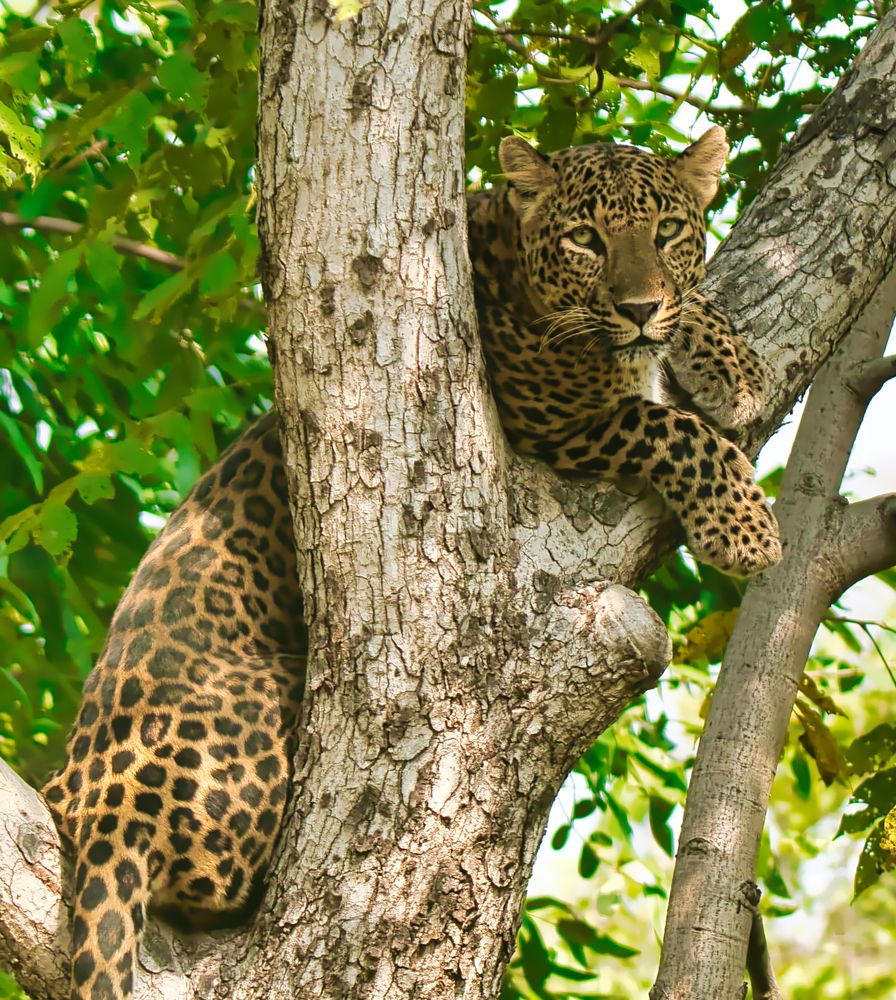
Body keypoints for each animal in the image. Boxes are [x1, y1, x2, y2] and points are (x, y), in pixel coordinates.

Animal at [42, 126, 780, 1000]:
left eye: (666, 231)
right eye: (585, 240)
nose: (637, 308)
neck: (510, 258)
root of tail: (90, 804)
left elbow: (696, 309)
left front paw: (736, 368)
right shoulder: (551, 419)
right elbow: (672, 429)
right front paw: (745, 530)